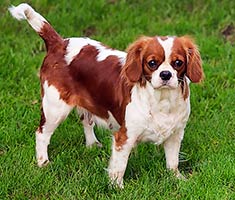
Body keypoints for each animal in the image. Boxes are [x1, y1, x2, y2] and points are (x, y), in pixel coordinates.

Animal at [9, 2, 203, 188]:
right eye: (152, 63)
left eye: (178, 63)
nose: (165, 75)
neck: (162, 100)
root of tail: (59, 43)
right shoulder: (125, 137)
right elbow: (119, 167)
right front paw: (117, 187)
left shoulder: (176, 134)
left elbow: (173, 161)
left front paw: (177, 179)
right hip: (55, 108)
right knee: (41, 134)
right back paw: (43, 163)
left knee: (86, 119)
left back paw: (92, 144)